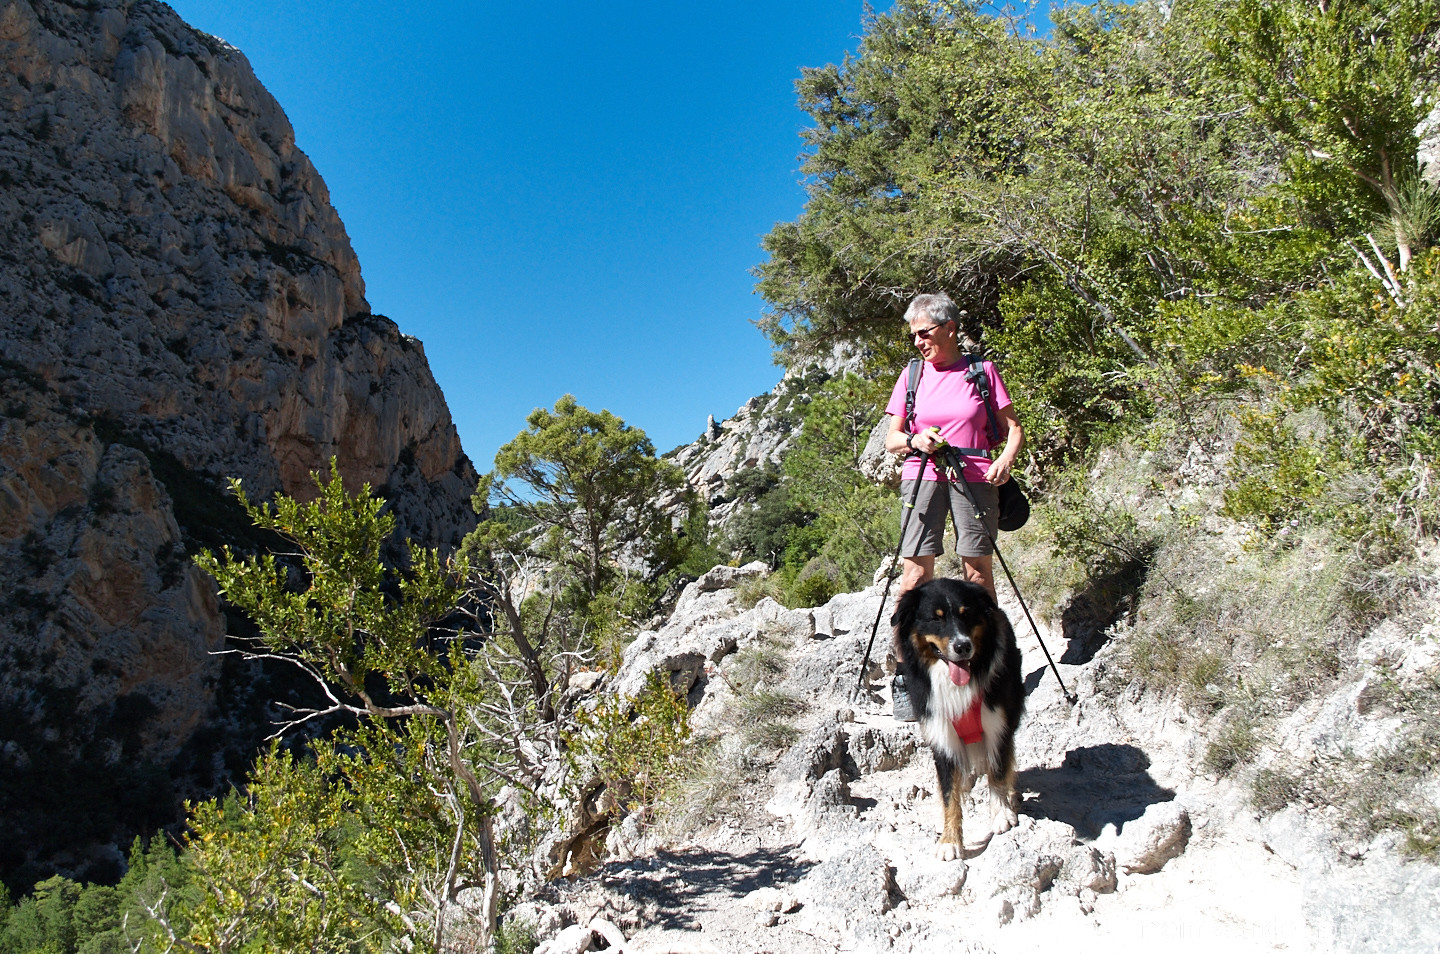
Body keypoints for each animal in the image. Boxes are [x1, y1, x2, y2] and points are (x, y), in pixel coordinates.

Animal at [887, 579, 1025, 864]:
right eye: (935, 619)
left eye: (966, 614)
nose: (963, 646)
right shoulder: (942, 737)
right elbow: (949, 795)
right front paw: (949, 841)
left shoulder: (997, 726)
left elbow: (998, 770)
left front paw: (1001, 814)